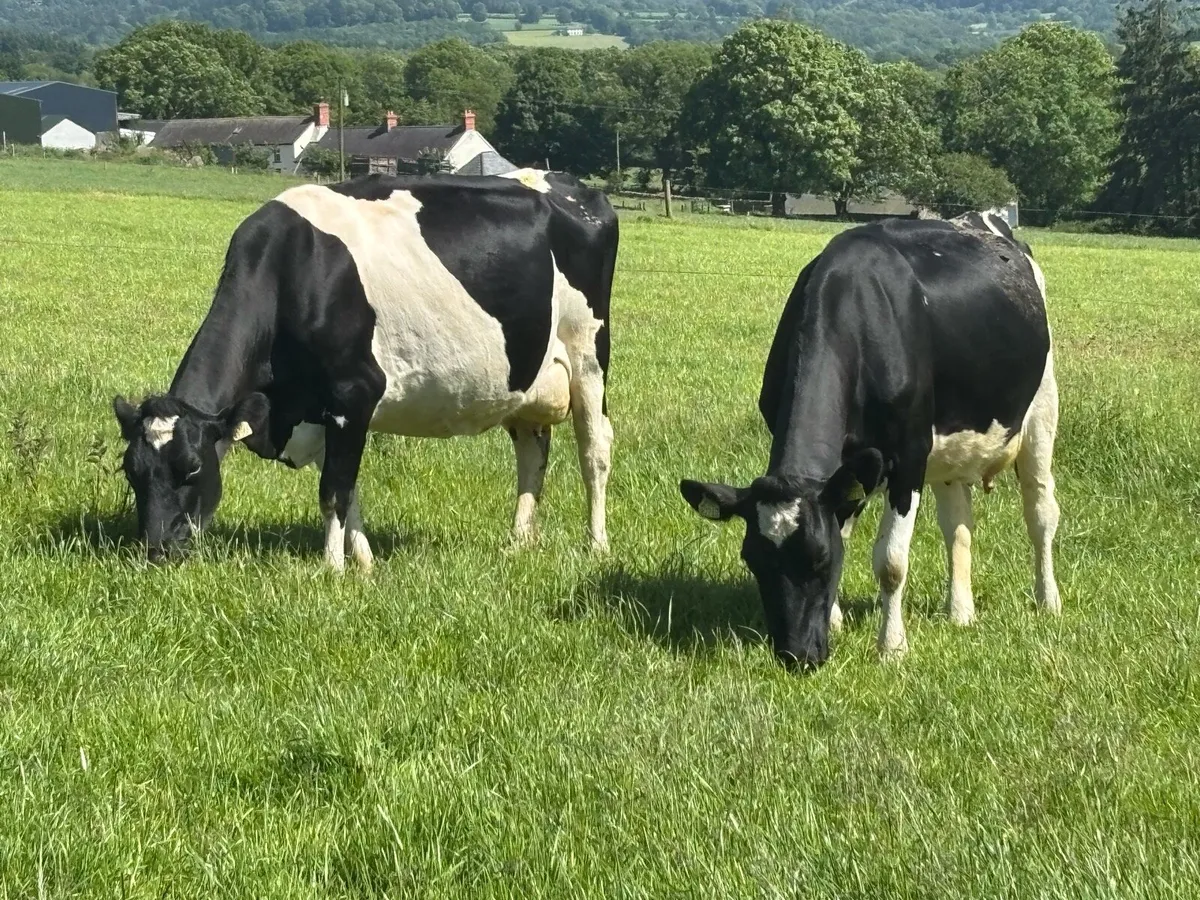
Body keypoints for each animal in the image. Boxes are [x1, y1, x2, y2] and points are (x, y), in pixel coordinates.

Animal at [112, 168, 618, 569]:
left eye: (193, 468)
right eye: (131, 472)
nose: (156, 550)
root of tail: (568, 184)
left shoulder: (353, 393)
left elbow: (333, 489)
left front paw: (333, 569)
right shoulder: (326, 412)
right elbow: (348, 486)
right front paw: (365, 563)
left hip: (589, 354)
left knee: (594, 451)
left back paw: (596, 545)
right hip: (528, 380)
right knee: (532, 453)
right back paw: (518, 542)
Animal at [679, 215, 1060, 671]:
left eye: (819, 559)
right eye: (752, 560)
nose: (796, 656)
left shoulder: (909, 457)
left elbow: (891, 562)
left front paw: (892, 647)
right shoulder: (848, 471)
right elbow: (846, 532)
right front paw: (836, 622)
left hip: (1041, 411)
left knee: (1040, 512)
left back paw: (1048, 602)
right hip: (950, 451)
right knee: (957, 525)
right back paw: (960, 613)